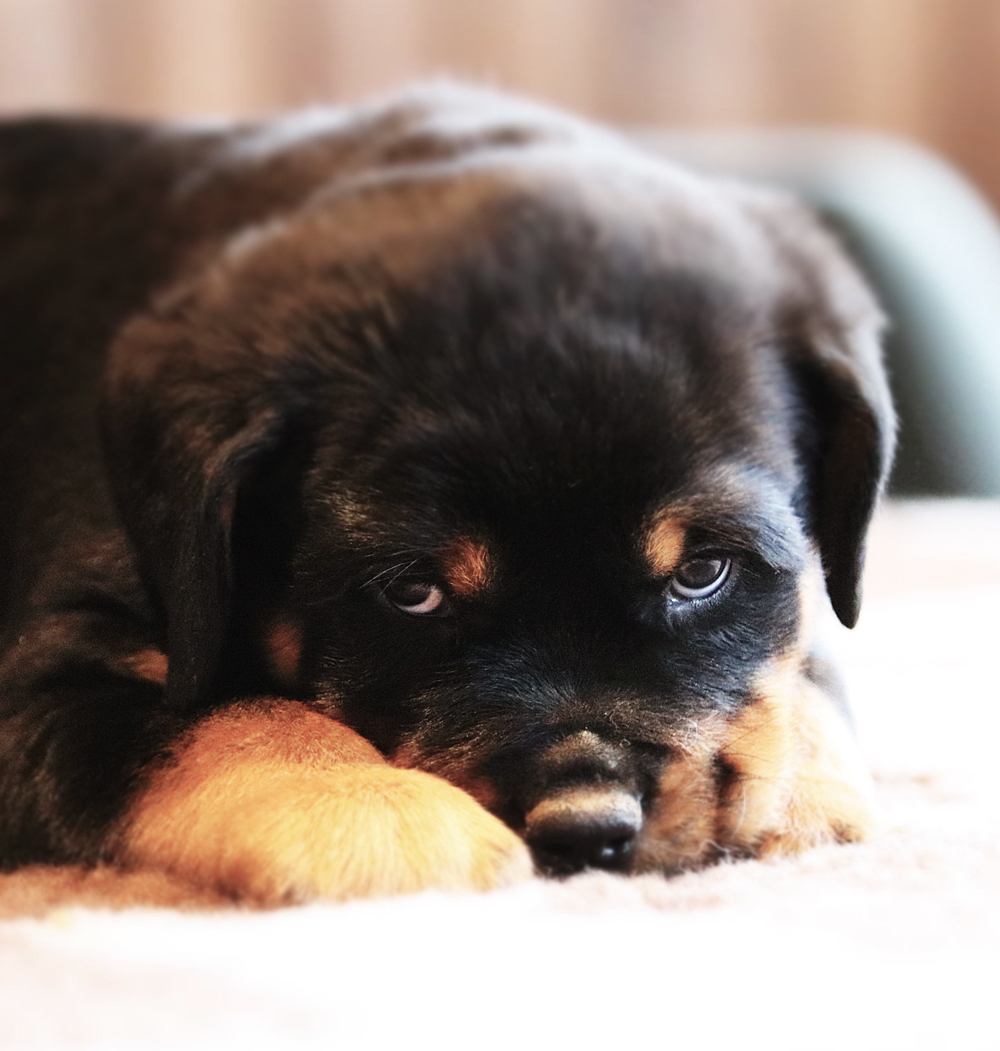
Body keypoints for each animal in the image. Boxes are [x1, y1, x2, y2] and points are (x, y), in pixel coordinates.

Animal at [0, 84, 894, 905]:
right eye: (413, 591)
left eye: (703, 571)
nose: (587, 826)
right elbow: (209, 716)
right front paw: (380, 811)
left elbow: (806, 657)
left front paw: (805, 786)